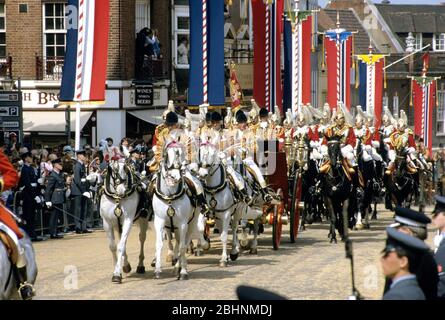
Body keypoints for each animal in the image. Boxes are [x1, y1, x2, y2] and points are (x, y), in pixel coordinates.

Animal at [152, 141, 197, 278]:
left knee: (185, 242)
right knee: (176, 241)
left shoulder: (182, 224)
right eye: (166, 155)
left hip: (191, 223)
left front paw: (183, 271)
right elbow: (159, 244)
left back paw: (180, 267)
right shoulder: (159, 221)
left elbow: (182, 246)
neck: (170, 196)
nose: (175, 176)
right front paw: (157, 270)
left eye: (183, 154)